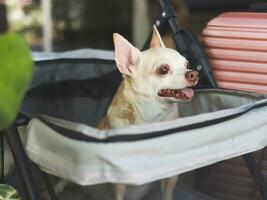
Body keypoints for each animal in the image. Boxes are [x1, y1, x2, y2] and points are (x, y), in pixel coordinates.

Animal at [99, 25, 199, 200]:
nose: (193, 73)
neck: (154, 120)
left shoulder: (171, 176)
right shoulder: (118, 183)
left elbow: (167, 195)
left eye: (187, 64)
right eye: (163, 70)